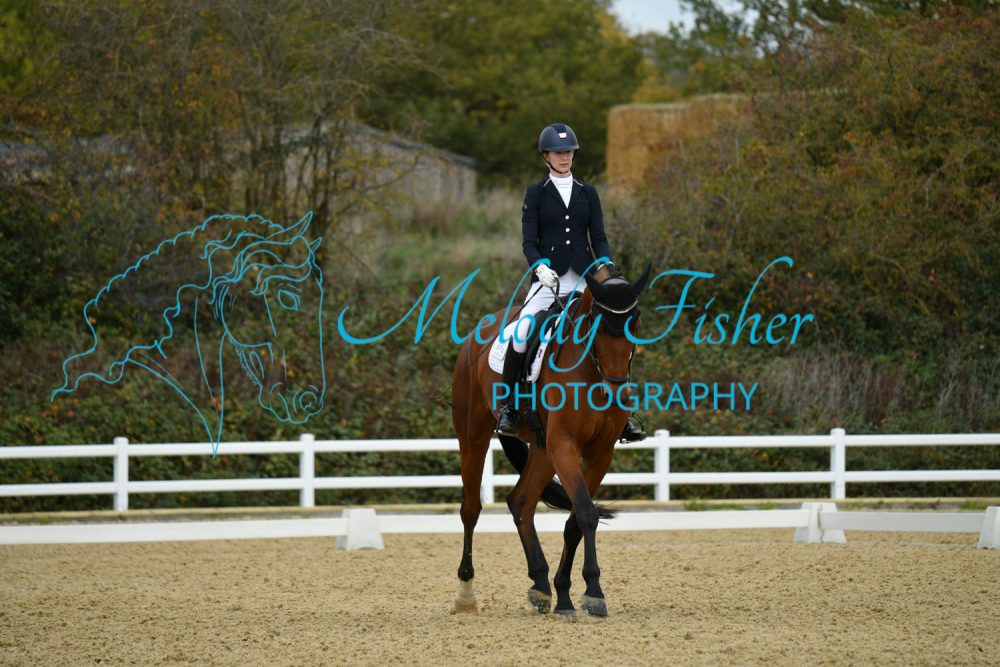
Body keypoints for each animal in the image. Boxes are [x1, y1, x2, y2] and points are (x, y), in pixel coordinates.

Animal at [451, 263, 652, 617]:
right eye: (597, 325)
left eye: (636, 322)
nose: (616, 389)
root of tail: (478, 333)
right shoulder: (565, 445)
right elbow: (586, 512)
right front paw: (594, 592)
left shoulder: (599, 452)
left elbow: (576, 520)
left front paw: (565, 594)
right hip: (474, 437)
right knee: (471, 509)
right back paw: (465, 594)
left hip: (543, 450)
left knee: (521, 502)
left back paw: (541, 587)